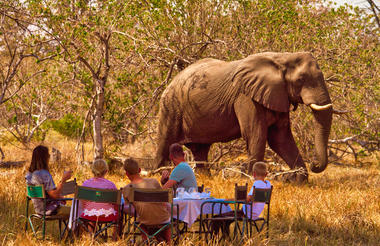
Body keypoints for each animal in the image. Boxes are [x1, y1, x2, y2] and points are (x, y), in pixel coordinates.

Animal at [153, 52, 336, 183]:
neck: (282, 57)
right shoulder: (246, 97)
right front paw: (250, 179)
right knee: (165, 141)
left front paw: (298, 180)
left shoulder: (278, 96)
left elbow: (280, 139)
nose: (314, 164)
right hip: (171, 106)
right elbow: (256, 134)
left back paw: (205, 177)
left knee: (200, 150)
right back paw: (160, 174)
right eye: (300, 80)